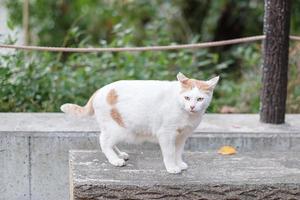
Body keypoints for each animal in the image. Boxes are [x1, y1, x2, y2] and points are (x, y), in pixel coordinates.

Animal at [60, 72, 218, 173]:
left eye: (199, 99)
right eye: (187, 98)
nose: (192, 107)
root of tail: (99, 90)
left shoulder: (182, 136)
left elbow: (178, 152)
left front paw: (179, 163)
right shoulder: (166, 134)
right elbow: (170, 152)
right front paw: (172, 167)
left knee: (108, 140)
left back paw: (119, 155)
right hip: (118, 129)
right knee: (103, 141)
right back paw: (114, 160)